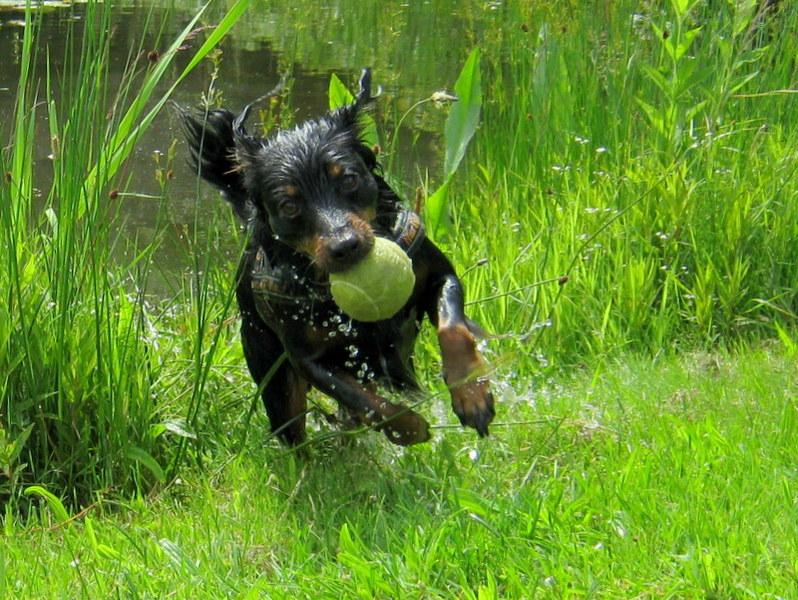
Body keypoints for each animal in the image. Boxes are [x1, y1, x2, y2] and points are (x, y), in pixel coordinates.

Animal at [181, 69, 494, 446]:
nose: (345, 246)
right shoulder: (307, 358)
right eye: (289, 206)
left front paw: (471, 394)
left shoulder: (440, 276)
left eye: (348, 179)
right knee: (296, 434)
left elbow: (453, 329)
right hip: (273, 376)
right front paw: (407, 427)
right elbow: (363, 399)